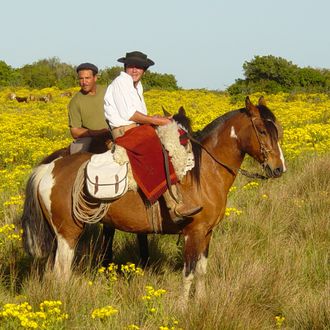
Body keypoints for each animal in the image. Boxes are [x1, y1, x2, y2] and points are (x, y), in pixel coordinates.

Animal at [21, 96, 286, 302]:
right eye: (262, 130)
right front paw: (183, 308)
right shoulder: (194, 232)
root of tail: (50, 168)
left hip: (58, 235)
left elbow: (201, 270)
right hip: (68, 233)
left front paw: (201, 302)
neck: (204, 173)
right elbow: (188, 272)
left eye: (278, 131)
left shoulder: (207, 233)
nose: (278, 168)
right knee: (61, 272)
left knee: (52, 271)